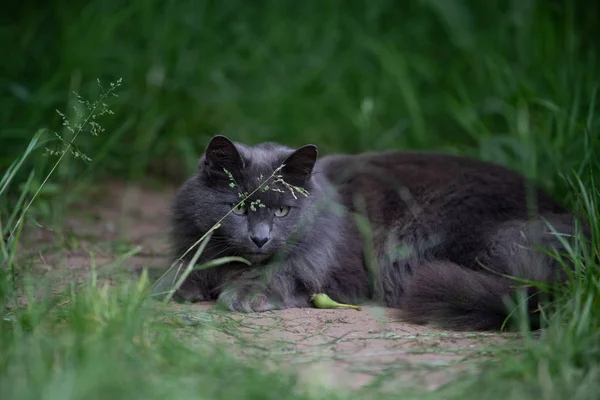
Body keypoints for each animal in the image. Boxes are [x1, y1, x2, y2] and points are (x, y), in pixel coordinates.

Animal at [168, 135, 580, 332]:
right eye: (238, 208)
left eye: (283, 210)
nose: (260, 238)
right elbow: (185, 266)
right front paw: (179, 287)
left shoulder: (336, 271)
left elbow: (284, 274)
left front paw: (244, 294)